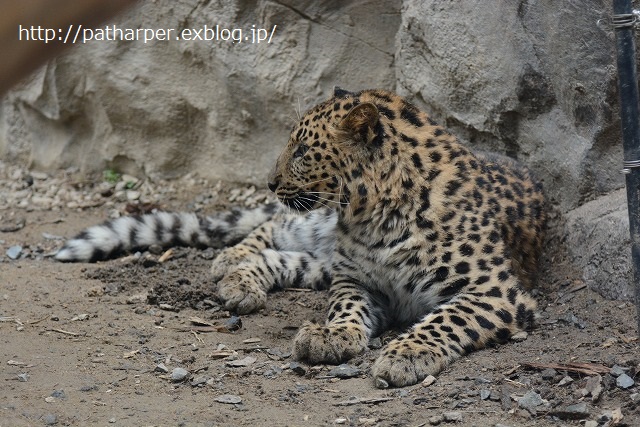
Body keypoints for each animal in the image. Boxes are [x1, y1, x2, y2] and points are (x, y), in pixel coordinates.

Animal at [53, 87, 544, 388]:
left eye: (303, 150)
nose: (269, 182)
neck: (373, 218)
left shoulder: (495, 291)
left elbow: (447, 318)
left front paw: (406, 354)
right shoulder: (356, 279)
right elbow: (346, 305)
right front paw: (334, 334)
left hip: (320, 254)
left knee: (290, 258)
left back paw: (241, 276)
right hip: (310, 225)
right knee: (269, 227)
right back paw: (230, 264)